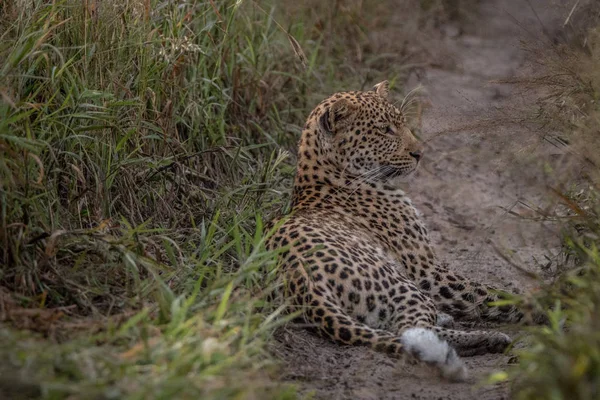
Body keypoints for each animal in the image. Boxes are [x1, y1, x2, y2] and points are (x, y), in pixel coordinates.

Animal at [268, 82, 536, 382]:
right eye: (385, 130)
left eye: (402, 123)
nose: (420, 153)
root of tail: (299, 282)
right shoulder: (427, 270)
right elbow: (491, 293)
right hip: (401, 284)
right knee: (410, 331)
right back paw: (487, 339)